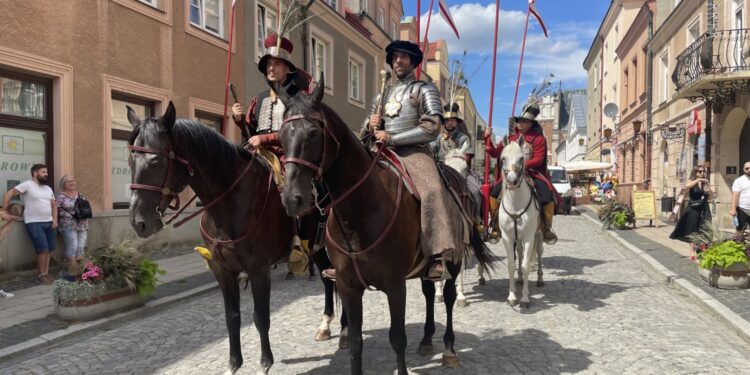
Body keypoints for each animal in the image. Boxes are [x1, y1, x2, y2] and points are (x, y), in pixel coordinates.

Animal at [126, 102, 346, 374]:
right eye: (130, 160)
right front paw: (233, 364)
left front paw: (264, 363)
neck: (230, 200)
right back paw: (325, 326)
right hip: (315, 249)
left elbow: (261, 318)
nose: (139, 222)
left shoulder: (258, 269)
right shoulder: (222, 269)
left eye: (156, 161)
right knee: (327, 280)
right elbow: (232, 317)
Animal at [274, 80, 496, 375]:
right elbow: (356, 341)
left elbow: (397, 338)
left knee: (447, 297)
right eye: (280, 136)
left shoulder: (394, 284)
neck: (360, 210)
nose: (292, 199)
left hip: (454, 257)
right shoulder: (348, 285)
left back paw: (449, 349)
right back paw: (427, 339)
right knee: (428, 292)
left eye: (313, 132)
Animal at [500, 137, 548, 308]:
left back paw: (540, 279)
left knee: (539, 254)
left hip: (538, 235)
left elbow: (526, 265)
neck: (516, 203)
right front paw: (512, 296)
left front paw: (525, 299)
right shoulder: (508, 238)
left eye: (521, 158)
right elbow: (511, 265)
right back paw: (520, 279)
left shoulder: (528, 238)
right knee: (520, 255)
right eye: (503, 158)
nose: (512, 181)